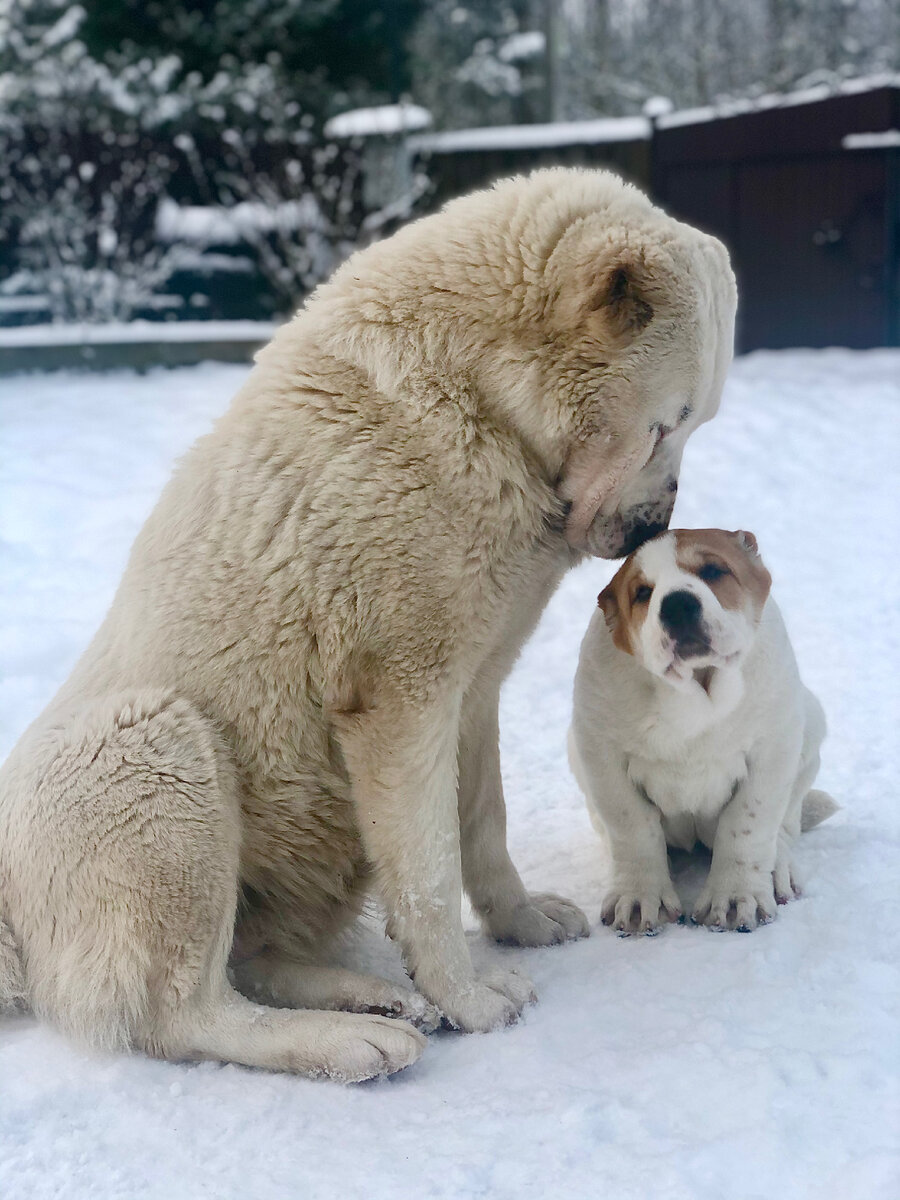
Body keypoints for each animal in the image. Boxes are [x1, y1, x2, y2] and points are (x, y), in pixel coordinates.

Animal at [0, 166, 734, 1080]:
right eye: (666, 424)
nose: (648, 530)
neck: (479, 398)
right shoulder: (401, 700)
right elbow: (428, 872)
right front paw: (468, 999)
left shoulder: (474, 691)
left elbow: (481, 826)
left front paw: (518, 924)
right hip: (154, 749)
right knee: (186, 1011)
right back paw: (349, 1039)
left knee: (252, 959)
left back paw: (369, 997)